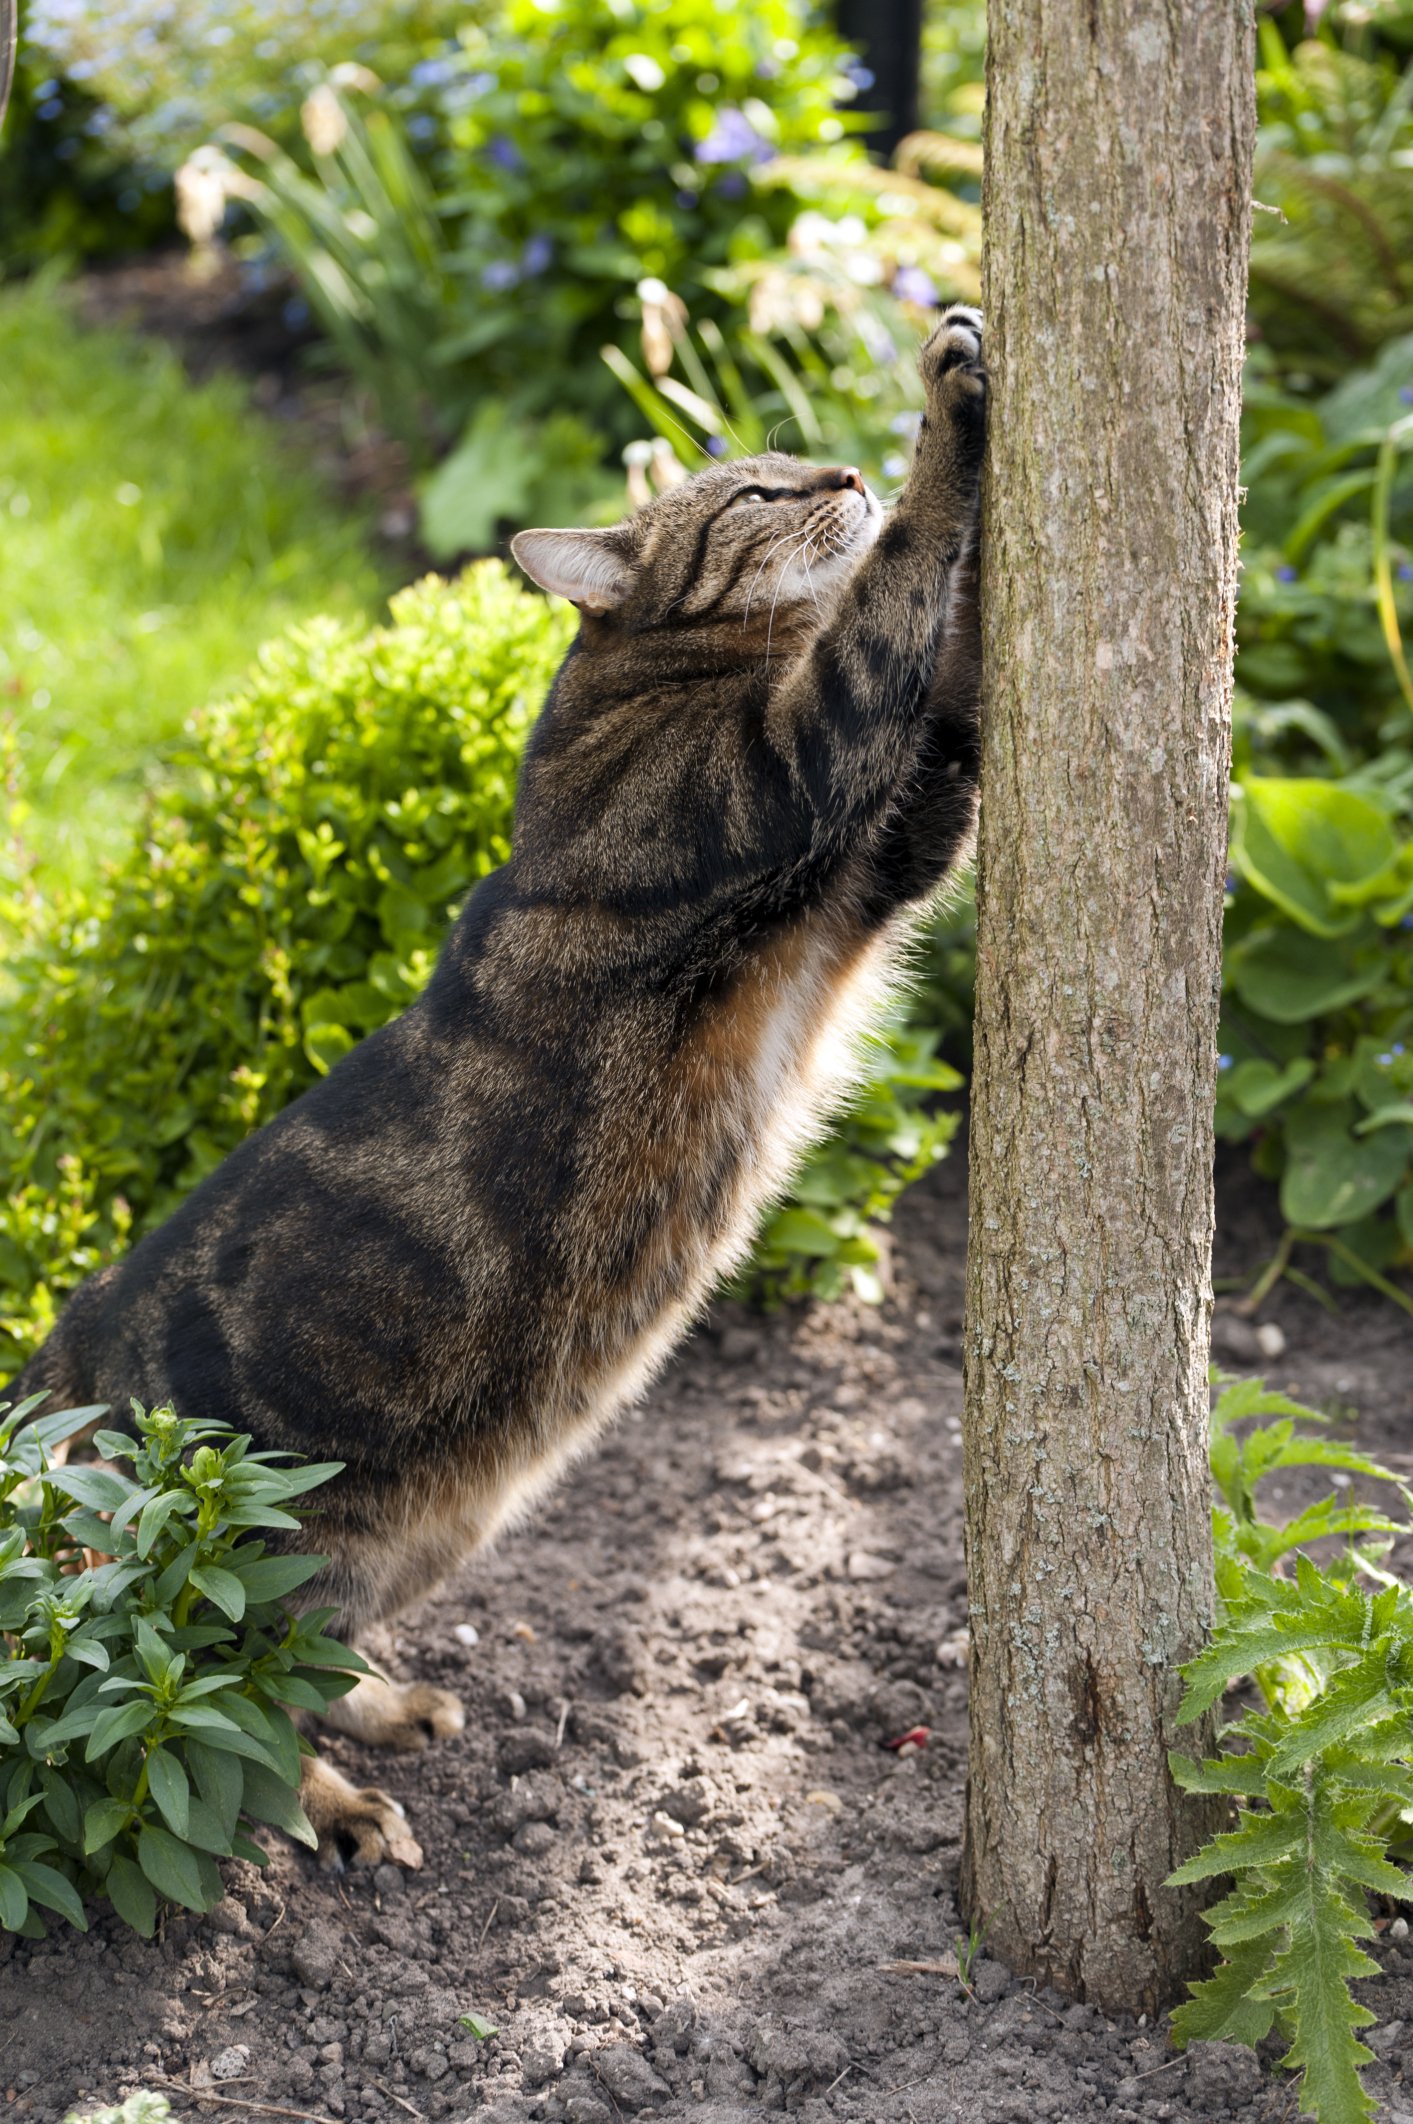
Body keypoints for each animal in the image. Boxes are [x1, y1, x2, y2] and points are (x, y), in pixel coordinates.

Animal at [8, 307, 981, 1869]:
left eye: (791, 467)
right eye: (754, 493)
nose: (838, 465)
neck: (670, 670)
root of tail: (39, 1404)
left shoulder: (893, 846)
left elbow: (952, 685)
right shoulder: (783, 766)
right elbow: (895, 595)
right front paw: (945, 416)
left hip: (414, 1539)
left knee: (289, 1673)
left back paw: (387, 1712)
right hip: (233, 1561)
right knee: (205, 1730)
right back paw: (339, 1810)